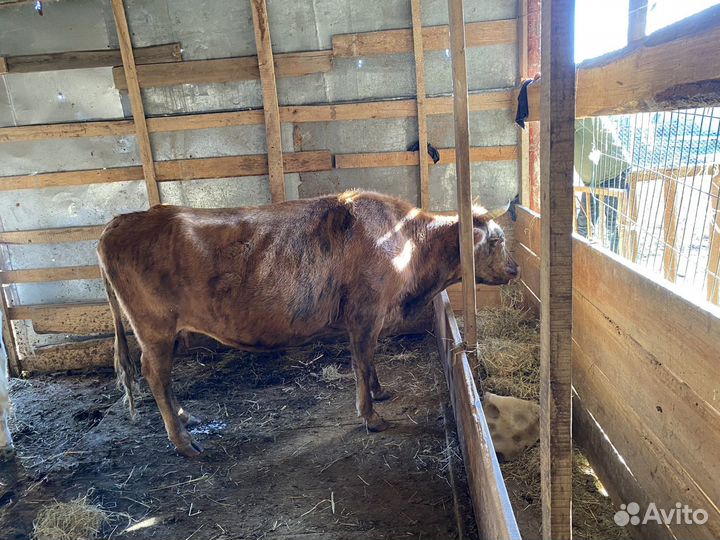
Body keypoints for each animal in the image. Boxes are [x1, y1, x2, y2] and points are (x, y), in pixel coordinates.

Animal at [97, 190, 516, 456]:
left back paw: (185, 417)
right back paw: (184, 442)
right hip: (154, 328)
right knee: (155, 374)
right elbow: (361, 360)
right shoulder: (365, 312)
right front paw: (371, 416)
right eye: (496, 241)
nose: (515, 269)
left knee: (162, 379)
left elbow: (370, 359)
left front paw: (379, 392)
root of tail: (119, 223)